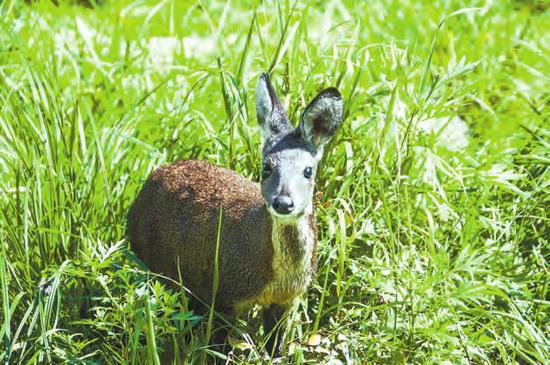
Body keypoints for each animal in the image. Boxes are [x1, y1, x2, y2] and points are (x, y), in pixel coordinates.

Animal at [127, 72, 342, 356]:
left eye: (308, 170)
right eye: (266, 167)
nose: (283, 203)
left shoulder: (286, 299)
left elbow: (275, 349)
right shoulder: (223, 294)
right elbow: (216, 349)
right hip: (154, 265)